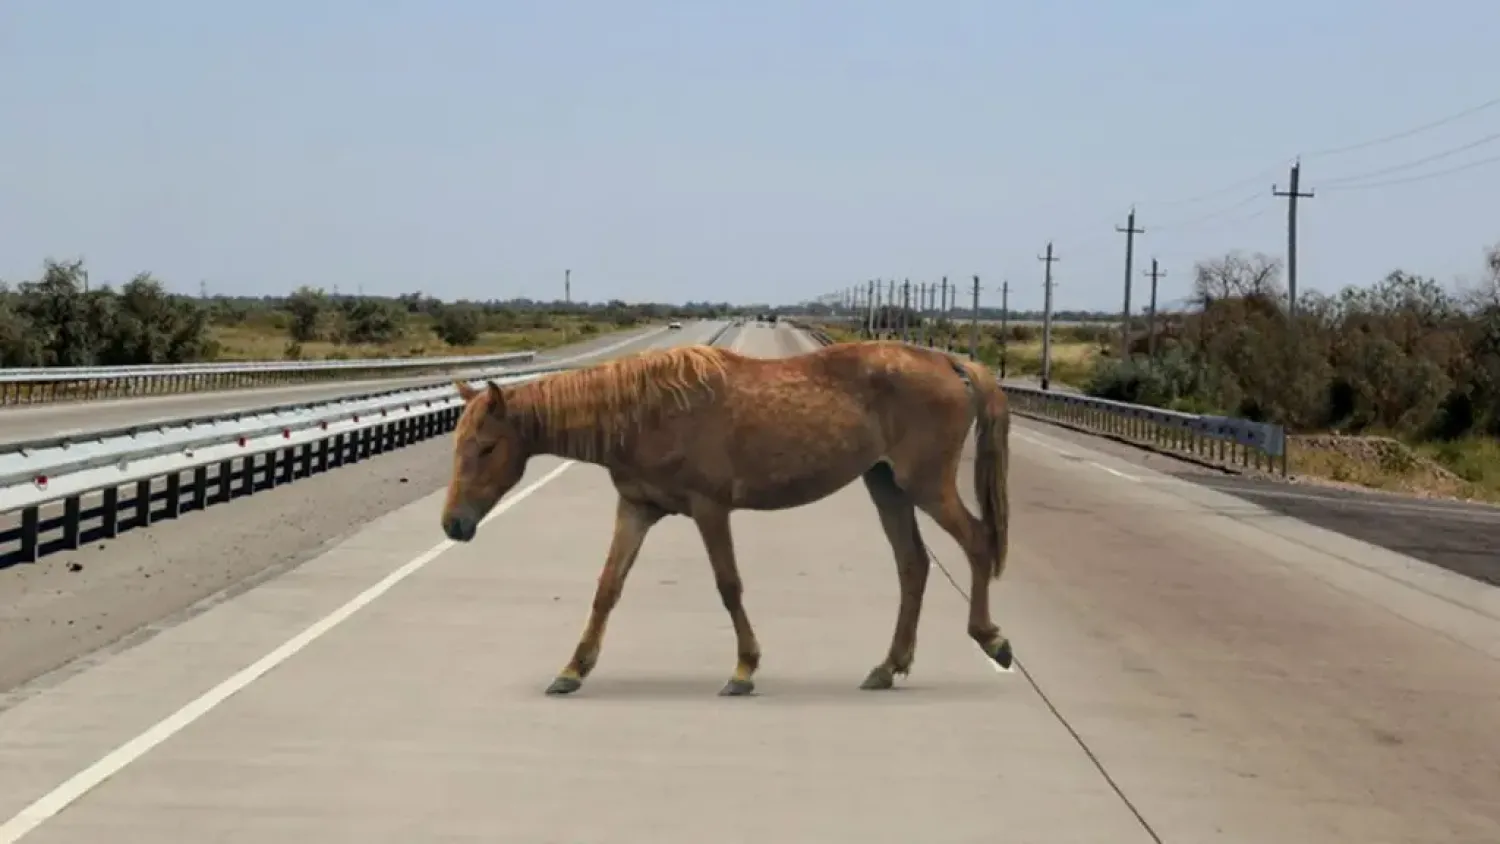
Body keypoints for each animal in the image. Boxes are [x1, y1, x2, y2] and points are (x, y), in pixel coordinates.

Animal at [438, 338, 1014, 701]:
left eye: (486, 447)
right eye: (458, 444)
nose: (453, 524)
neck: (645, 411)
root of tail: (951, 364)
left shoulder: (710, 508)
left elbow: (728, 584)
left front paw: (743, 670)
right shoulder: (637, 508)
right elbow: (607, 588)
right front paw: (572, 670)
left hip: (925, 484)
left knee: (977, 541)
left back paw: (991, 638)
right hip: (886, 484)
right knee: (913, 564)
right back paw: (887, 666)